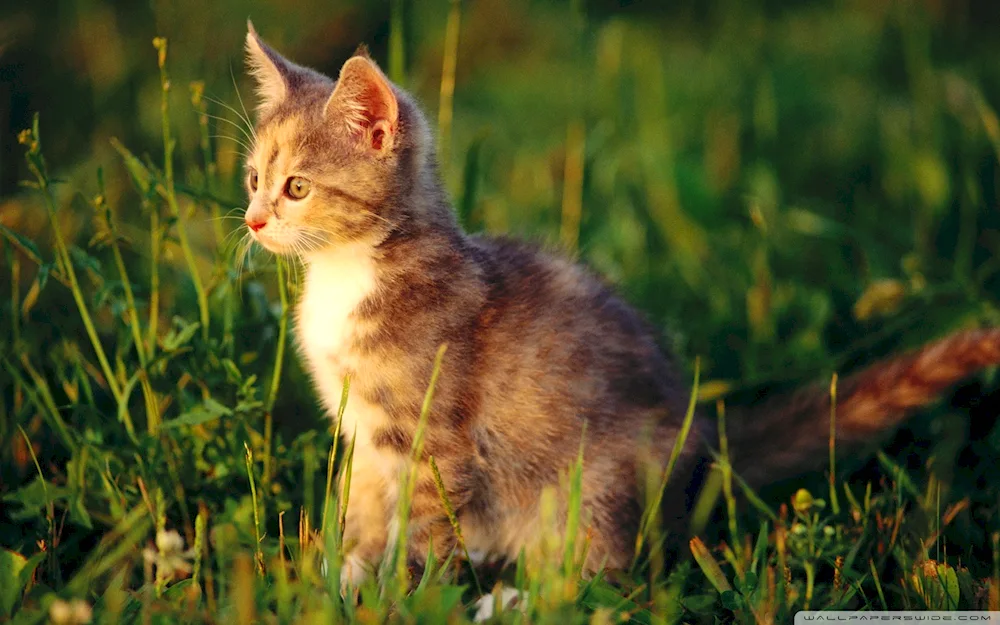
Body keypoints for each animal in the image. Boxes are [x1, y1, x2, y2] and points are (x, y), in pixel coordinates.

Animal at [238, 23, 1000, 588]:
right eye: (252, 178)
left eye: (298, 187)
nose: (252, 220)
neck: (349, 273)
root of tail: (701, 439)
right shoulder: (366, 434)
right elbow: (363, 512)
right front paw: (337, 582)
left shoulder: (432, 435)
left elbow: (423, 529)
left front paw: (405, 596)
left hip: (594, 480)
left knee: (608, 573)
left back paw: (519, 598)